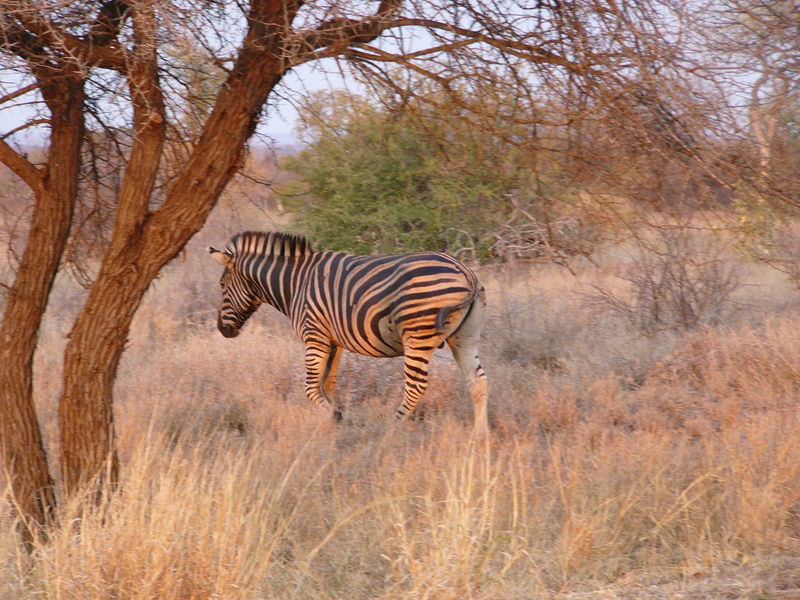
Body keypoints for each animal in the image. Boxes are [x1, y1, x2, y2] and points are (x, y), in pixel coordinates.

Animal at [208, 232, 488, 434]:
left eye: (221, 285)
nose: (223, 330)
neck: (295, 284)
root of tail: (467, 273)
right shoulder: (334, 341)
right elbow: (327, 383)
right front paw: (333, 419)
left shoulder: (314, 334)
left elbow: (310, 387)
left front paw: (335, 416)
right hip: (465, 337)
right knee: (478, 381)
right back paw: (479, 436)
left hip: (417, 335)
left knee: (416, 386)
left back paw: (391, 426)